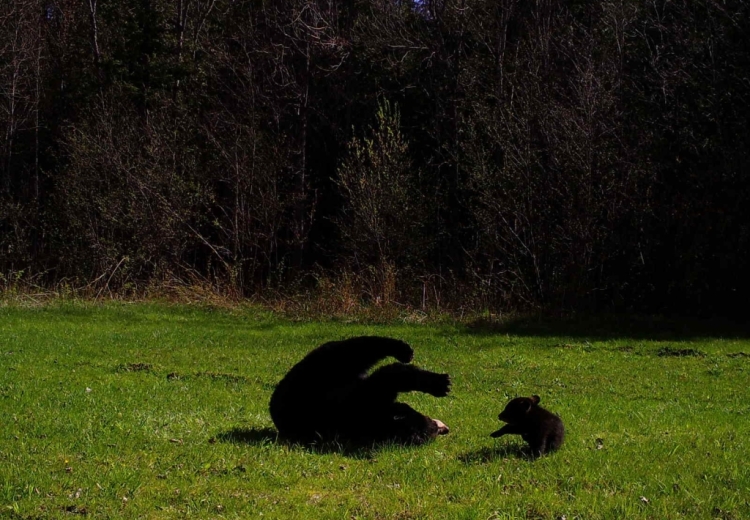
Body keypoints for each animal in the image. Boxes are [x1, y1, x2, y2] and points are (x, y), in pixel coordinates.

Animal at [270, 338, 452, 446]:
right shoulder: (367, 397)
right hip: (322, 367)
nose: (439, 429)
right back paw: (401, 349)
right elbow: (392, 374)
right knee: (355, 348)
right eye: (428, 427)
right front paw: (437, 383)